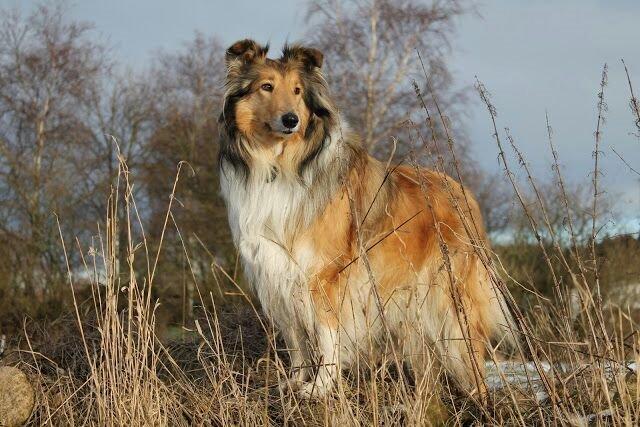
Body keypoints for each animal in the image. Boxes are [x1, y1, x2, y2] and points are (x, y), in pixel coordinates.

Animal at [219, 39, 516, 398]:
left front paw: (320, 386)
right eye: (267, 87)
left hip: (451, 291)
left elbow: (326, 334)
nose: (291, 120)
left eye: (298, 91)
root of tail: (464, 193)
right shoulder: (276, 272)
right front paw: (296, 380)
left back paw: (480, 394)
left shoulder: (326, 274)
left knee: (472, 343)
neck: (282, 165)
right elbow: (296, 337)